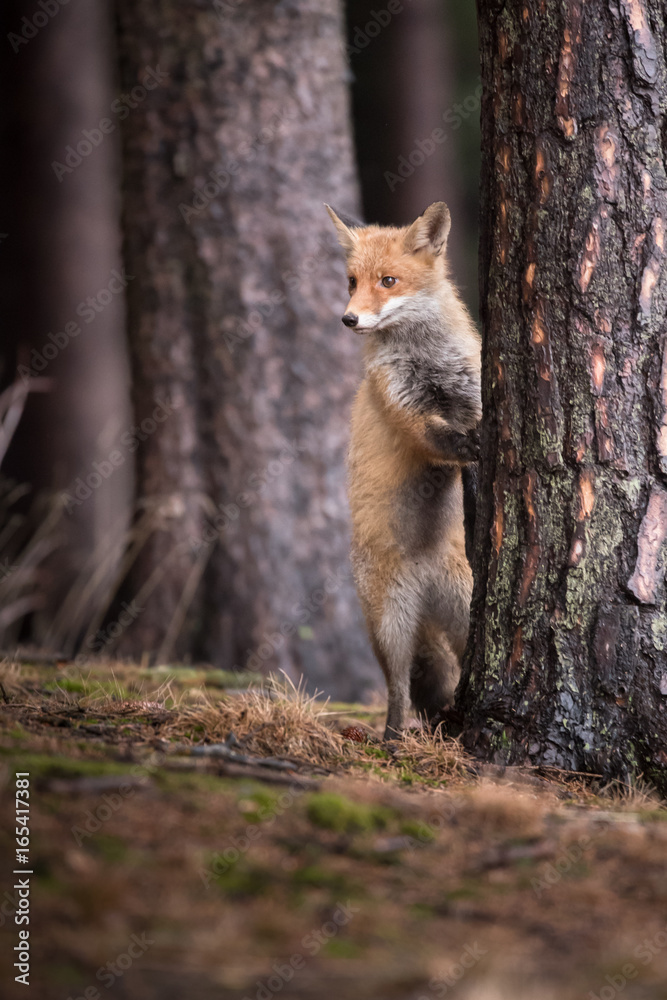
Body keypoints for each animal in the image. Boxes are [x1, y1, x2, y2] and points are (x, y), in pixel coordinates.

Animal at [325, 201, 482, 740]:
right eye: (351, 281)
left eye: (388, 281)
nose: (348, 318)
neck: (427, 360)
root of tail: (426, 581)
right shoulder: (406, 411)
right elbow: (440, 439)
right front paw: (475, 445)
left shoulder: (471, 386)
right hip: (390, 630)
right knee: (397, 691)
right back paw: (393, 743)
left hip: (462, 613)